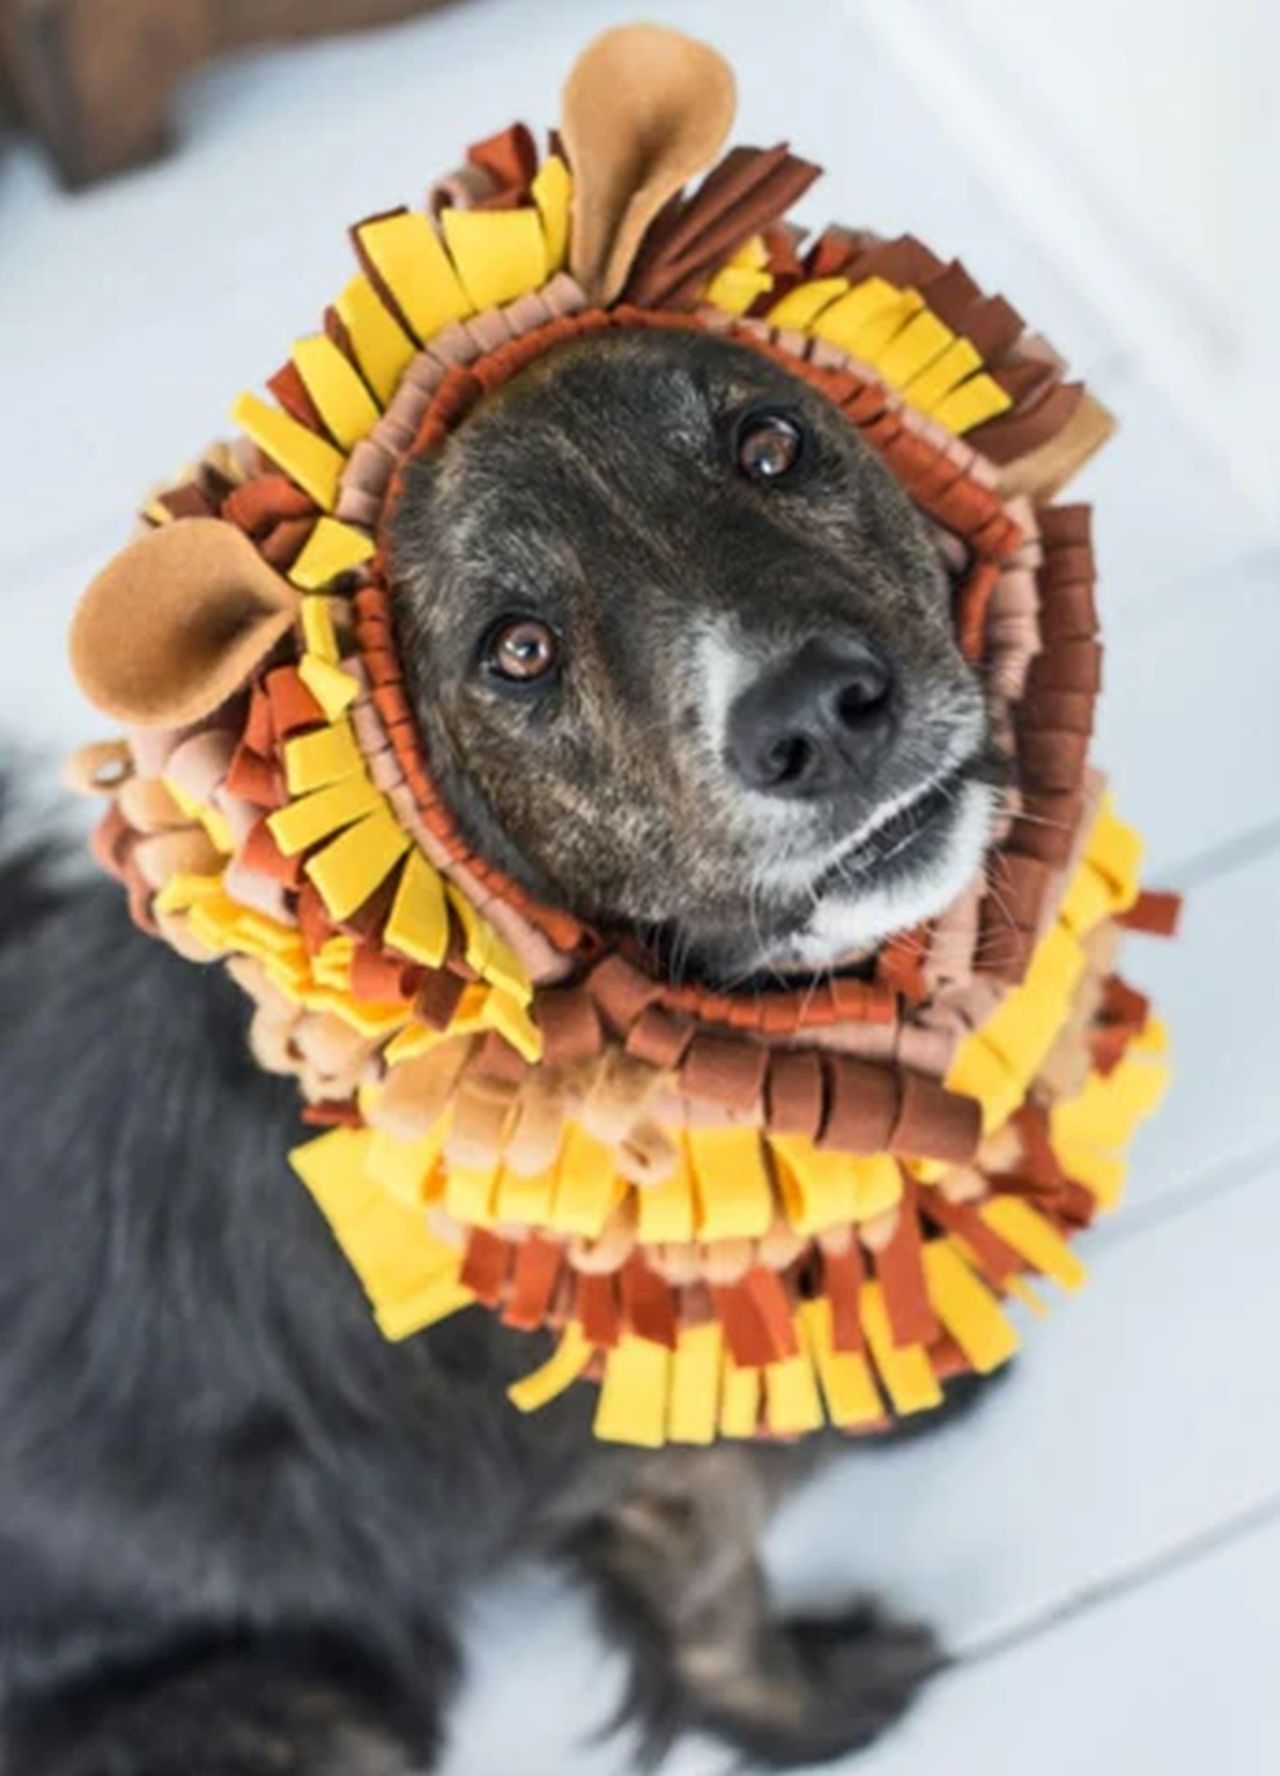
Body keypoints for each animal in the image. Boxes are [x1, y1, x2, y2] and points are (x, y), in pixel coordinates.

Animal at [0, 326, 994, 1768]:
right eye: (517, 650)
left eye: (769, 443)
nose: (817, 715)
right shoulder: (656, 1478)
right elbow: (710, 1601)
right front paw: (810, 1708)